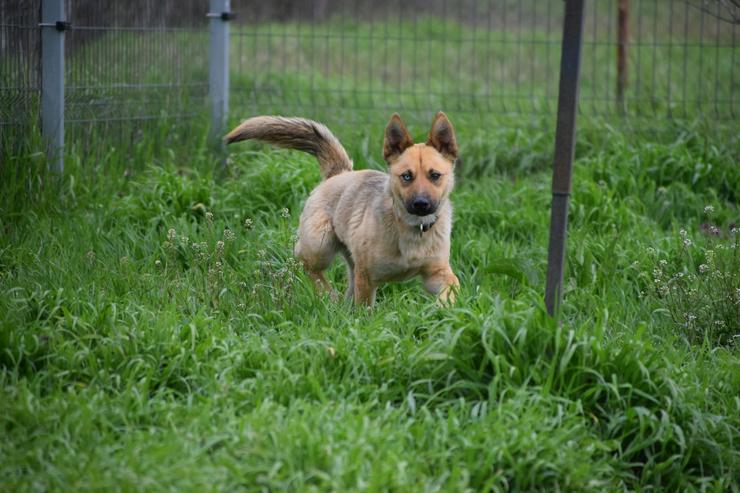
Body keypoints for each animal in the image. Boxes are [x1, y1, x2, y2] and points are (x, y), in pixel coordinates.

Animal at [223, 111, 460, 304]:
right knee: (304, 262)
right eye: (407, 176)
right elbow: (365, 307)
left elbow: (452, 285)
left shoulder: (436, 273)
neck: (413, 229)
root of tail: (339, 173)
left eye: (435, 175)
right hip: (320, 244)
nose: (421, 204)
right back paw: (328, 294)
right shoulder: (366, 277)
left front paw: (445, 311)